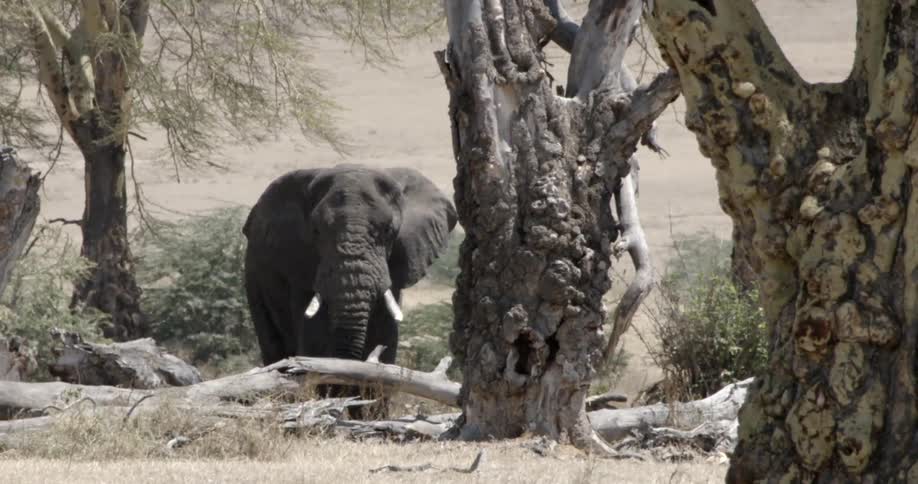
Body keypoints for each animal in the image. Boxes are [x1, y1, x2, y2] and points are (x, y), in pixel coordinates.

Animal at [242, 164, 457, 416]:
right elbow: (314, 345)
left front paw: (371, 415)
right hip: (254, 278)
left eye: (388, 230)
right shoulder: (302, 265)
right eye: (316, 231)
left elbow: (385, 341)